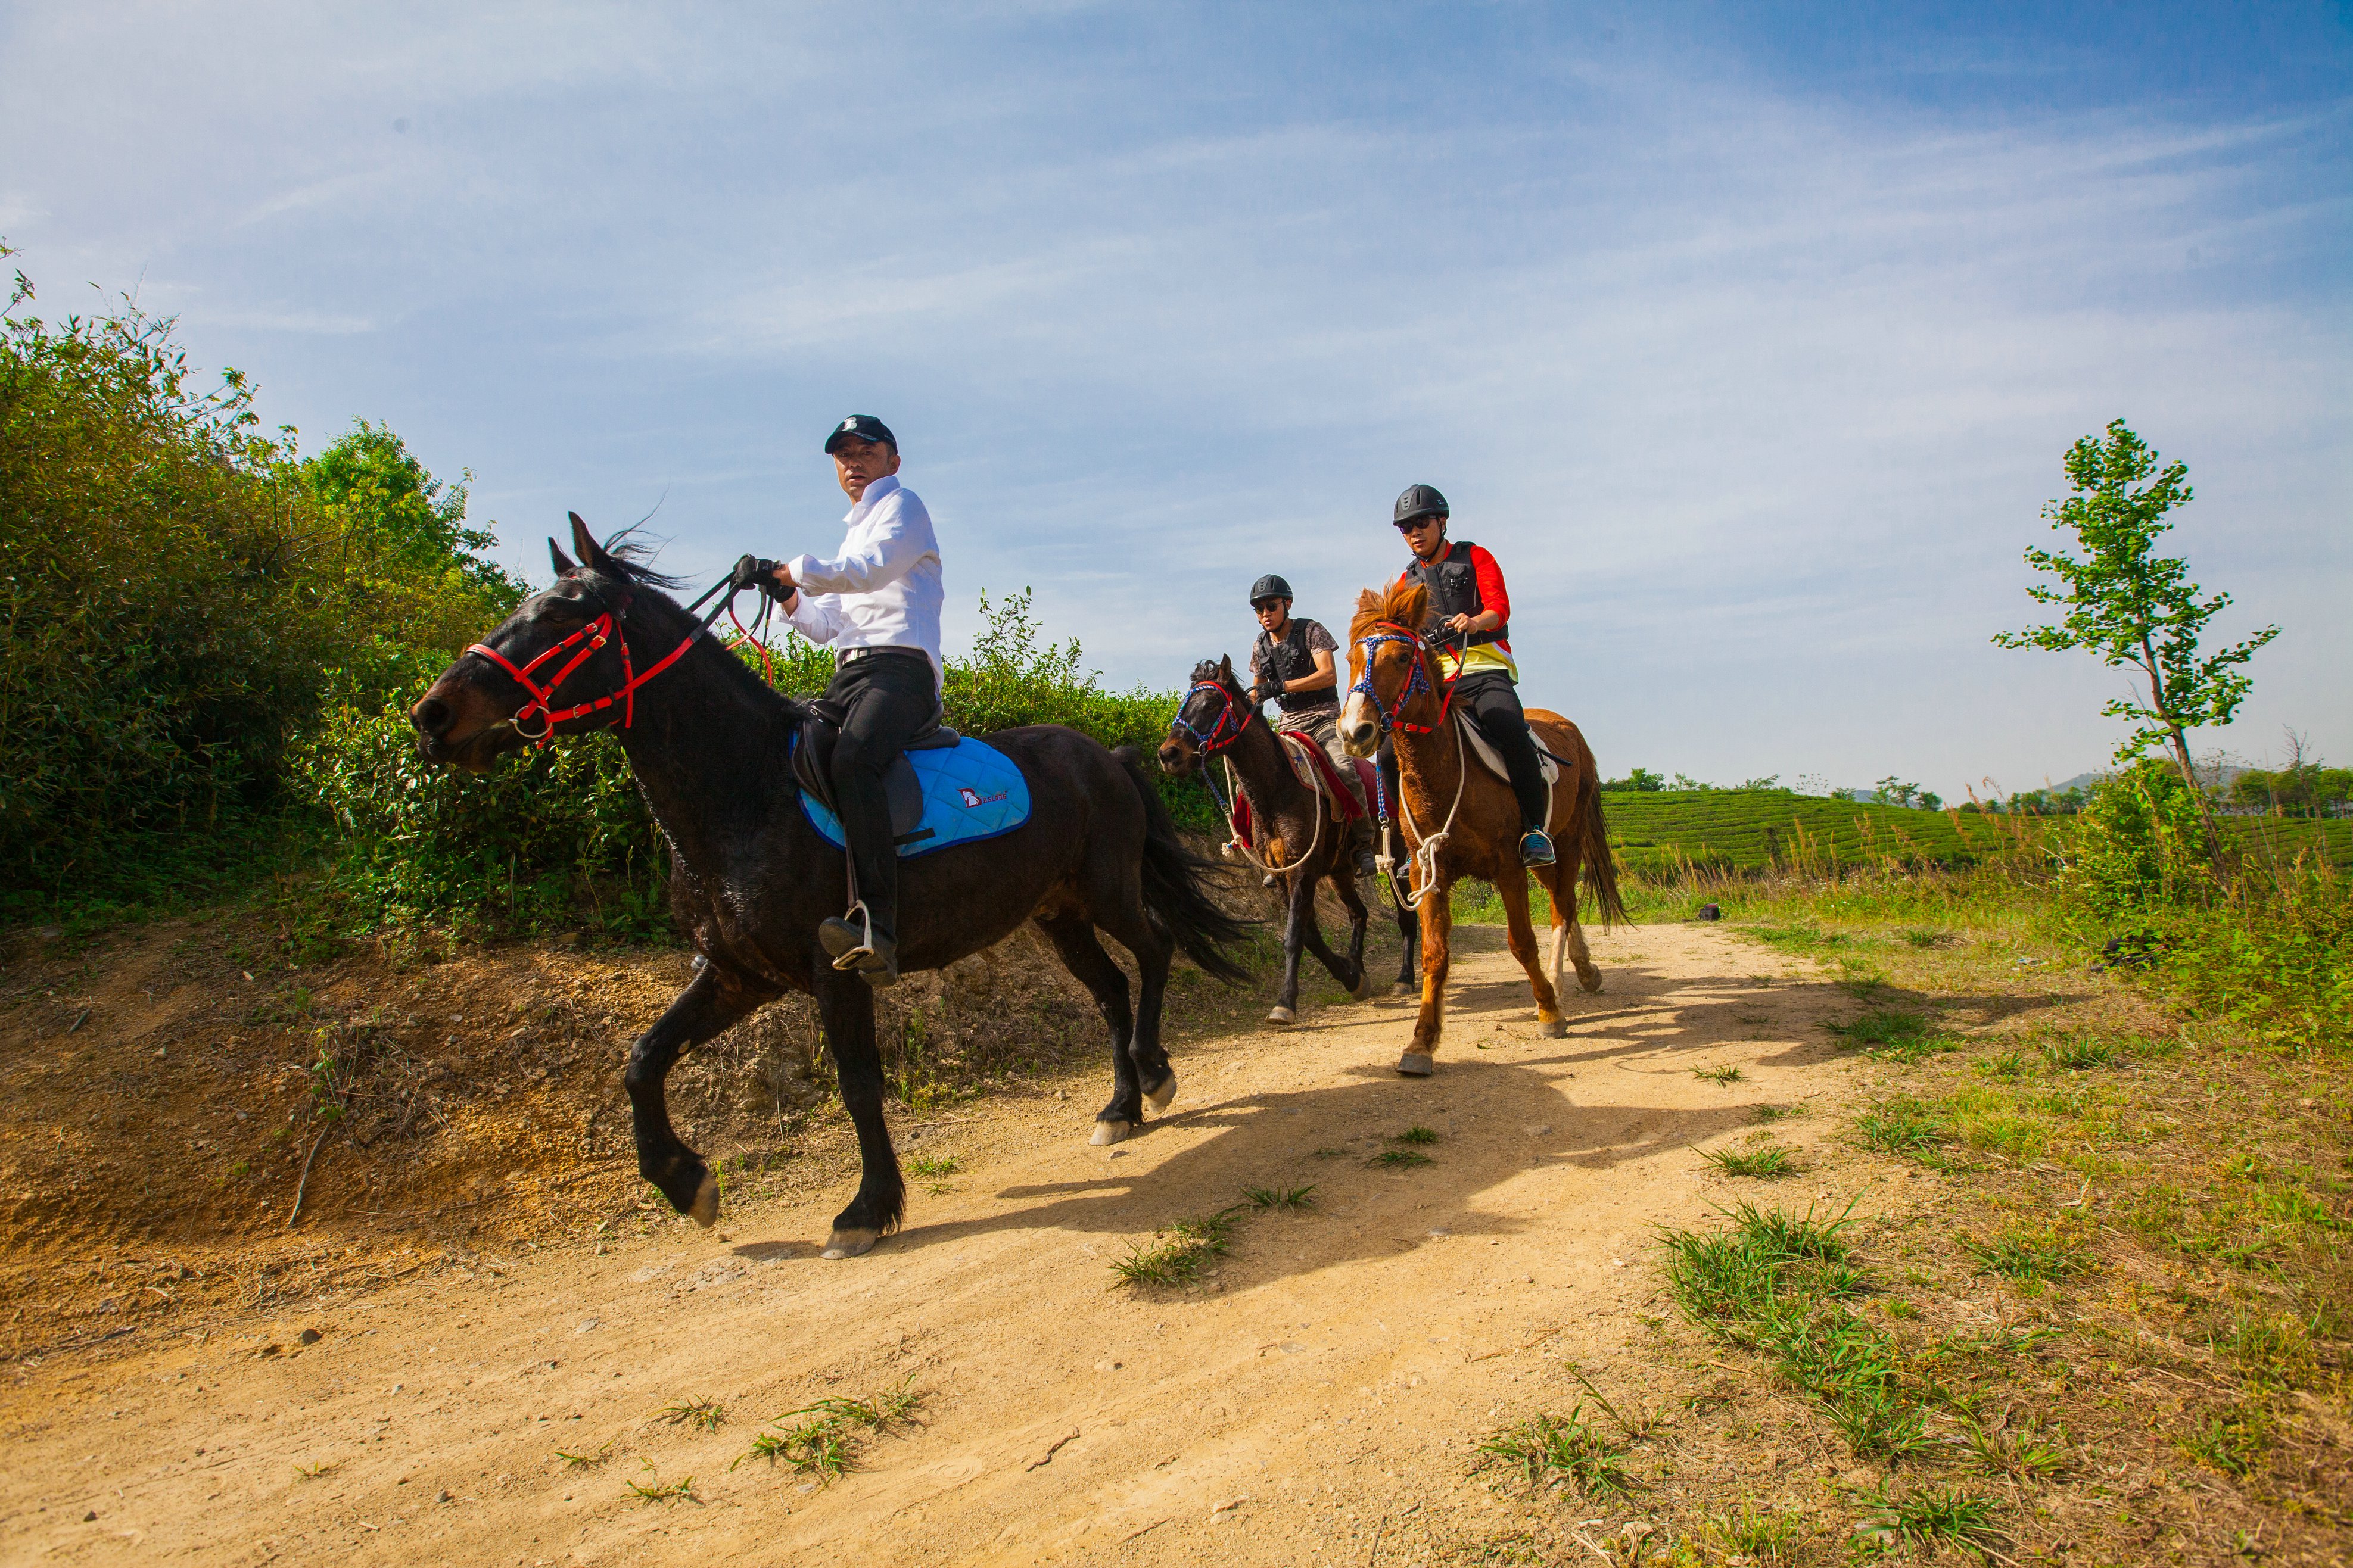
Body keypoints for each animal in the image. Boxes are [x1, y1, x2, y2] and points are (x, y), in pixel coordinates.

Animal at [409, 522, 1252, 1260]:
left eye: (560, 614)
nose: (431, 714)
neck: (748, 791)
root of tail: (1104, 754)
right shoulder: (739, 974)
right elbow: (643, 1057)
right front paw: (684, 1181)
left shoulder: (835, 967)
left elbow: (857, 1083)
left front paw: (866, 1209)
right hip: (1057, 913)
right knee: (1110, 989)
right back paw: (1120, 1106)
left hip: (1105, 891)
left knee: (1155, 950)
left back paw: (1154, 1072)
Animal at [1157, 658, 1412, 1025]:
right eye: (1184, 703)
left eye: (1210, 705)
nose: (1168, 755)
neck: (1276, 791)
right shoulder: (1281, 876)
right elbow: (1310, 936)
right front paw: (1350, 976)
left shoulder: (1301, 872)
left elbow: (1294, 937)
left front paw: (1285, 1003)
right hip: (1340, 873)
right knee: (1359, 913)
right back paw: (1358, 966)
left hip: (1399, 858)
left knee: (1406, 917)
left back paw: (1405, 978)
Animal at [1336, 581, 1628, 1081]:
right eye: (1352, 658)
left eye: (1402, 657)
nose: (1356, 730)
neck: (1446, 770)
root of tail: (1570, 729)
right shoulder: (1427, 872)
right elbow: (1434, 954)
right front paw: (1421, 1041)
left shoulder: (1508, 866)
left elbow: (1522, 942)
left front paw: (1549, 1011)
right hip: (1545, 855)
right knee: (1562, 901)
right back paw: (1585, 971)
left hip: (1566, 842)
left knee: (1563, 908)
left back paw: (1559, 984)